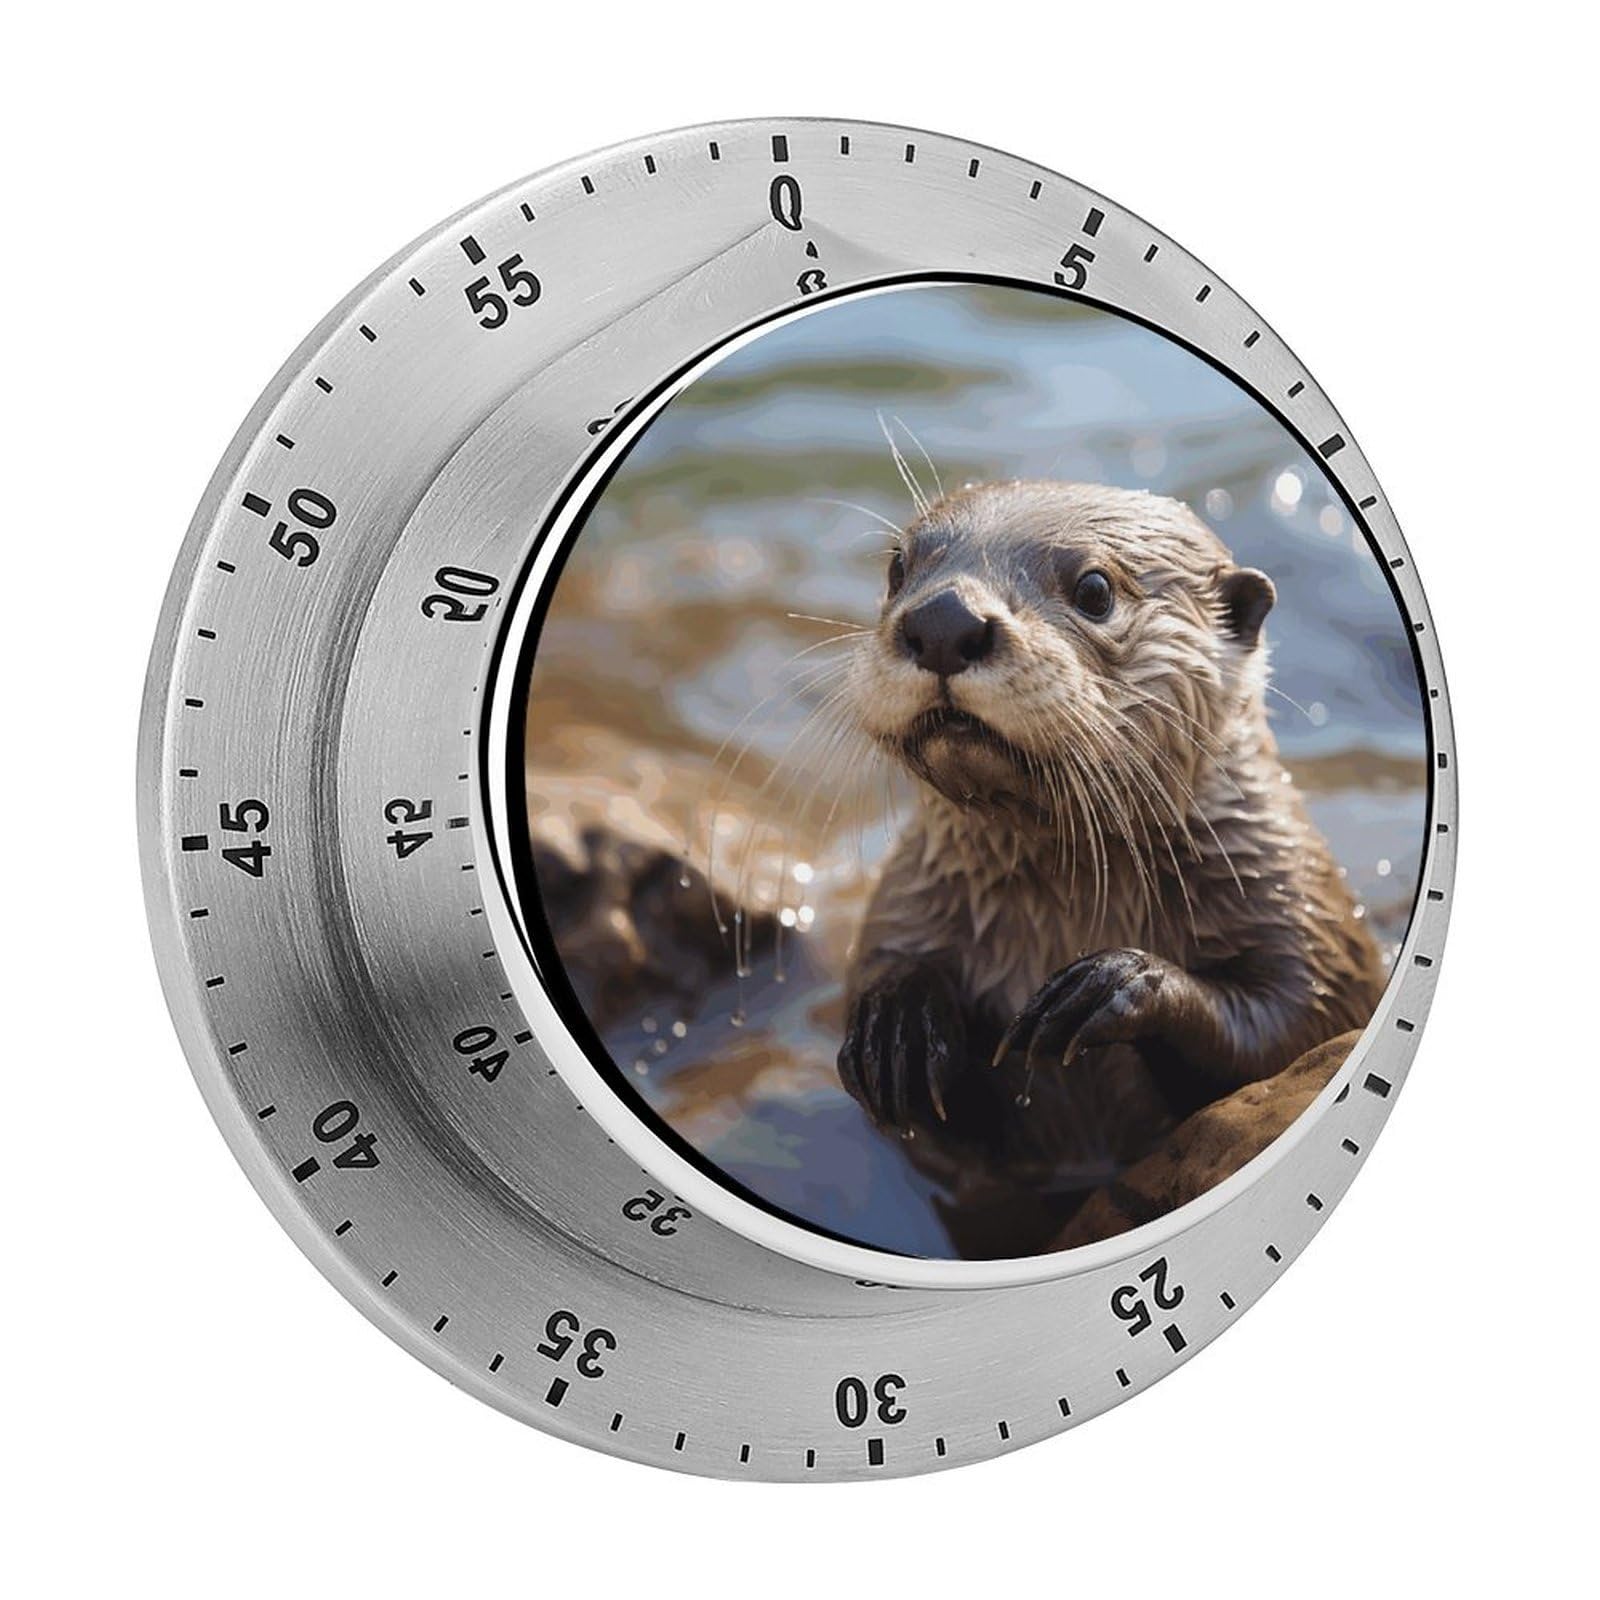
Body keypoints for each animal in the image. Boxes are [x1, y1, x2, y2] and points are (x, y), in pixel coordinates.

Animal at [834, 481, 1384, 1252]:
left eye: (1095, 589)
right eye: (897, 567)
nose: (943, 620)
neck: (1061, 920)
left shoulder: (1304, 913)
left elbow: (1293, 1026)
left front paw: (1117, 982)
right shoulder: (903, 903)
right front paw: (899, 1024)